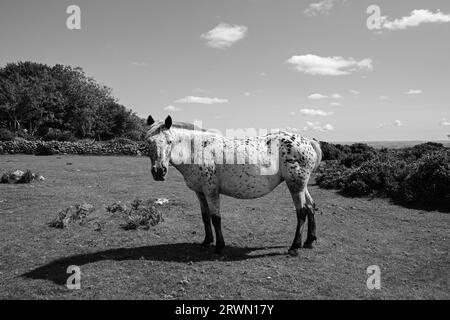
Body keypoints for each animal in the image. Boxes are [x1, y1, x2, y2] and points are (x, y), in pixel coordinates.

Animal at [146, 115, 322, 258]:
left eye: (169, 142)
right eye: (148, 141)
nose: (159, 171)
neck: (198, 150)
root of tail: (308, 142)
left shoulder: (211, 191)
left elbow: (216, 218)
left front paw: (219, 247)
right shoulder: (200, 192)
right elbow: (205, 216)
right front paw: (206, 241)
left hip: (295, 185)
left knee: (302, 212)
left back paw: (294, 247)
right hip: (301, 185)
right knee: (311, 206)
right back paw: (309, 241)